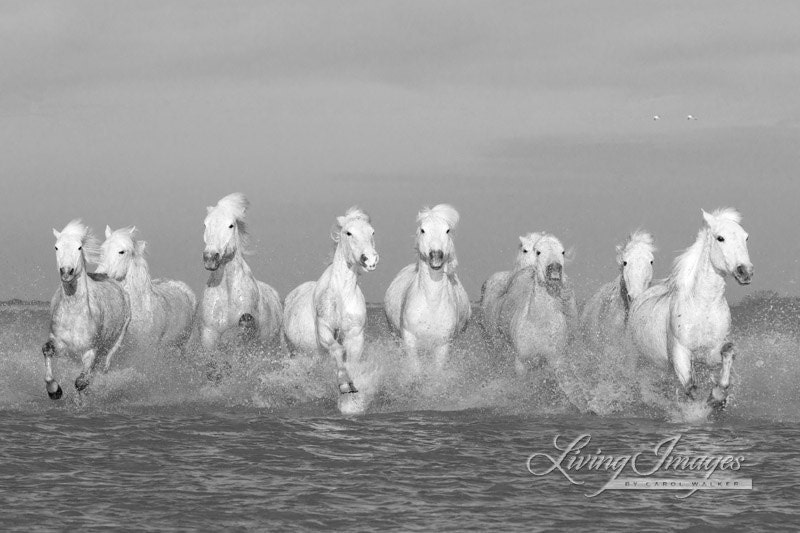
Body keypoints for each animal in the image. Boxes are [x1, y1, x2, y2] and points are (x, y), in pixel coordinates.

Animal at [42, 220, 131, 399]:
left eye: (79, 247)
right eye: (56, 247)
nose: (66, 272)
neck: (74, 313)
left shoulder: (90, 351)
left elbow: (81, 382)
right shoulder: (58, 342)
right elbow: (46, 351)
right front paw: (54, 390)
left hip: (113, 344)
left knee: (104, 365)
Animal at [283, 207, 379, 394]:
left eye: (372, 232)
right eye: (348, 232)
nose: (370, 259)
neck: (341, 298)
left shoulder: (355, 334)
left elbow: (351, 361)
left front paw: (352, 385)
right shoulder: (324, 330)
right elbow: (337, 350)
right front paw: (343, 385)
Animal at [384, 204, 471, 371]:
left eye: (447, 230)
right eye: (423, 230)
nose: (436, 256)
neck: (431, 305)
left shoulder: (443, 345)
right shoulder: (409, 339)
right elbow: (416, 369)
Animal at [493, 232, 577, 375]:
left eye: (563, 251)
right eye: (538, 252)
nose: (555, 270)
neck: (540, 324)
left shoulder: (556, 361)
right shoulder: (521, 363)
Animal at [628, 209, 753, 408]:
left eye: (746, 237)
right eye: (720, 238)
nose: (745, 272)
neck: (703, 306)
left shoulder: (710, 352)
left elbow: (728, 351)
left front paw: (718, 394)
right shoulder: (680, 353)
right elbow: (691, 389)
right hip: (646, 363)